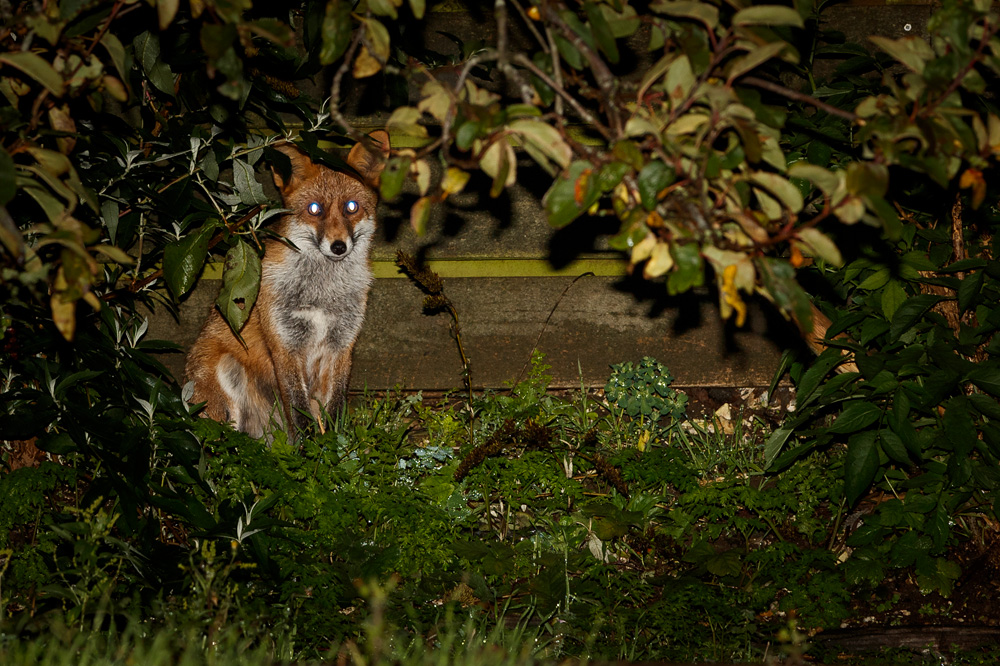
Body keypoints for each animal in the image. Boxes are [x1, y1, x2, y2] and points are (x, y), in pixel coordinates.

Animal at [184, 131, 390, 439]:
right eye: (314, 209)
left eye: (351, 207)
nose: (338, 246)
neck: (322, 294)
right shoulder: (285, 344)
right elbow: (297, 409)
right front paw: (309, 449)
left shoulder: (341, 345)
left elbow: (335, 407)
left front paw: (335, 444)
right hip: (225, 375)